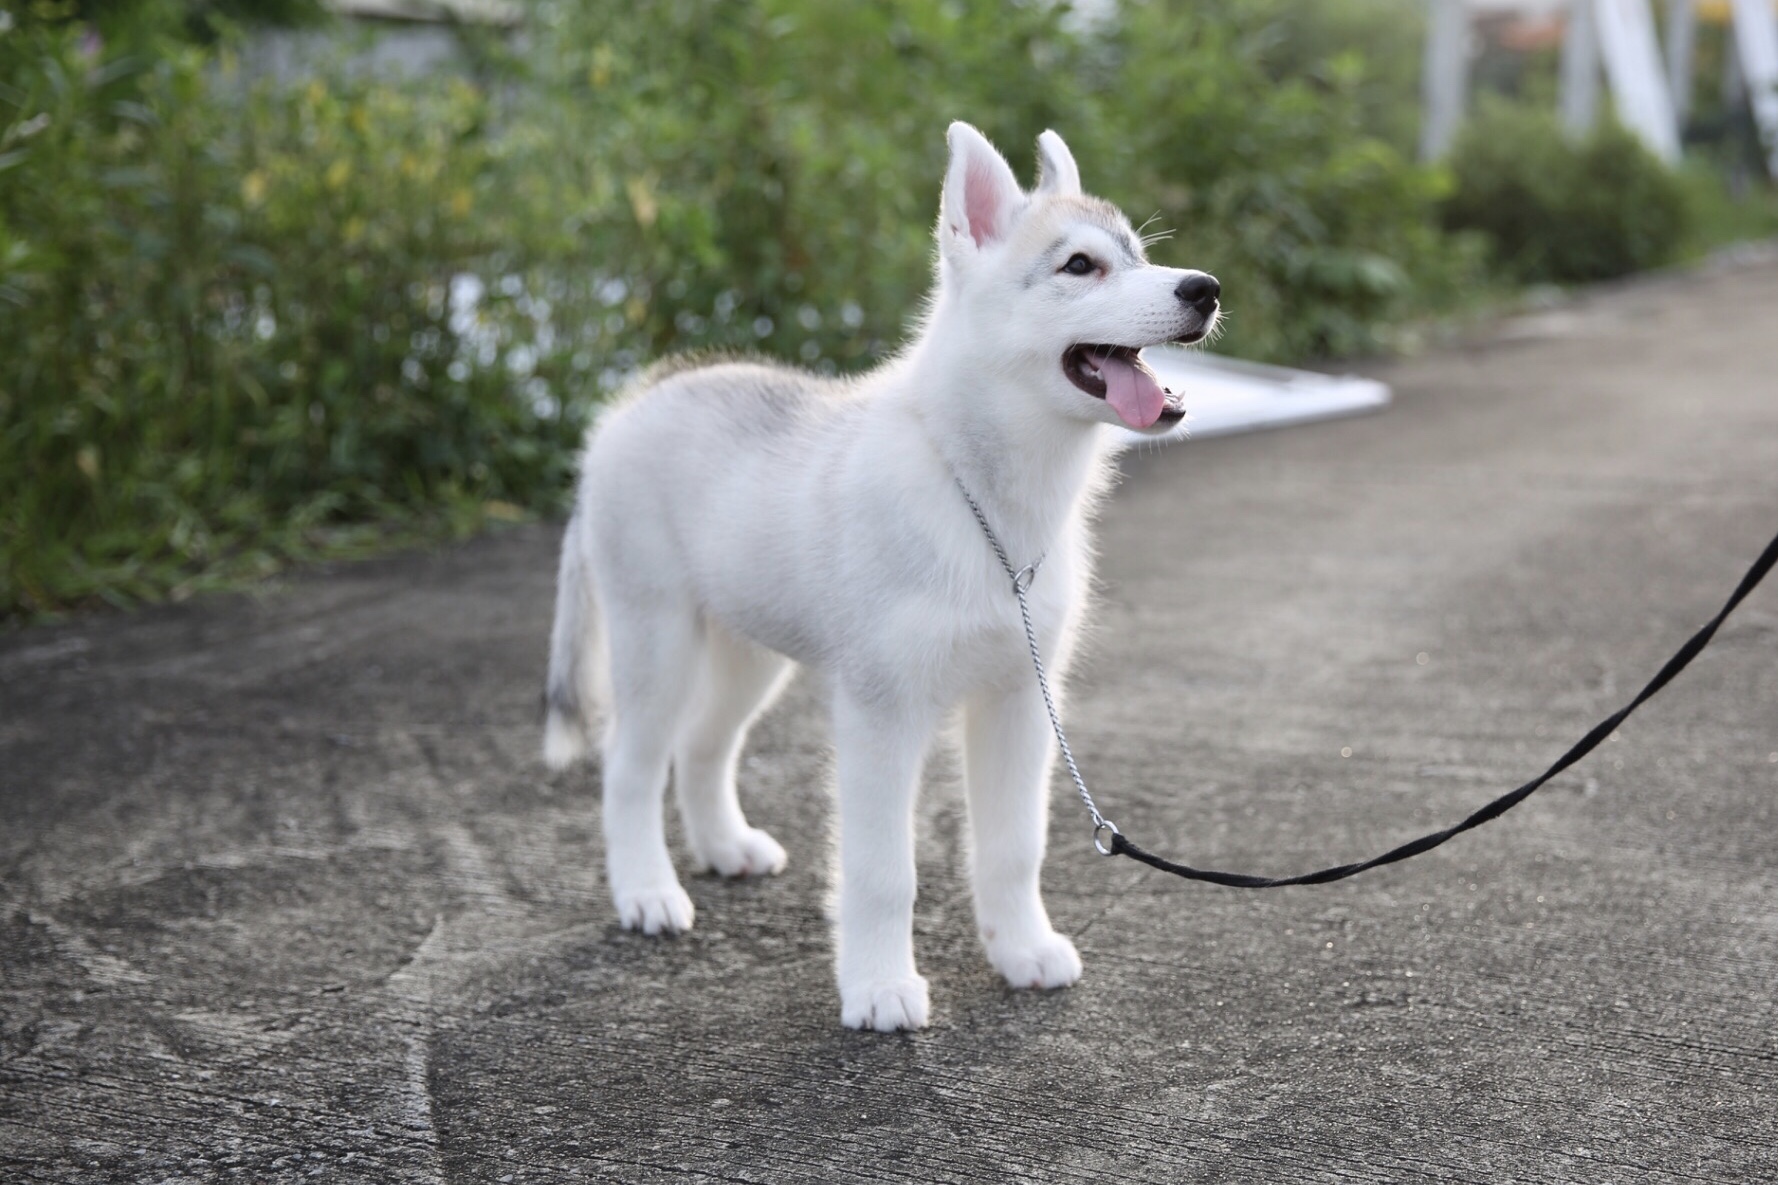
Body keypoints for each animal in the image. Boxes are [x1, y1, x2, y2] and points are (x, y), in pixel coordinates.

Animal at [542, 122, 1219, 1031]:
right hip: (658, 641)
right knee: (630, 767)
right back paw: (647, 891)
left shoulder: (1020, 702)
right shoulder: (881, 713)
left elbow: (1013, 846)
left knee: (703, 745)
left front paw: (1022, 949)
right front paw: (878, 987)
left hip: (749, 652)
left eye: (1140, 255)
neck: (988, 510)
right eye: (1081, 266)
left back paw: (725, 847)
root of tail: (627, 407)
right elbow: (882, 870)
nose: (1205, 289)